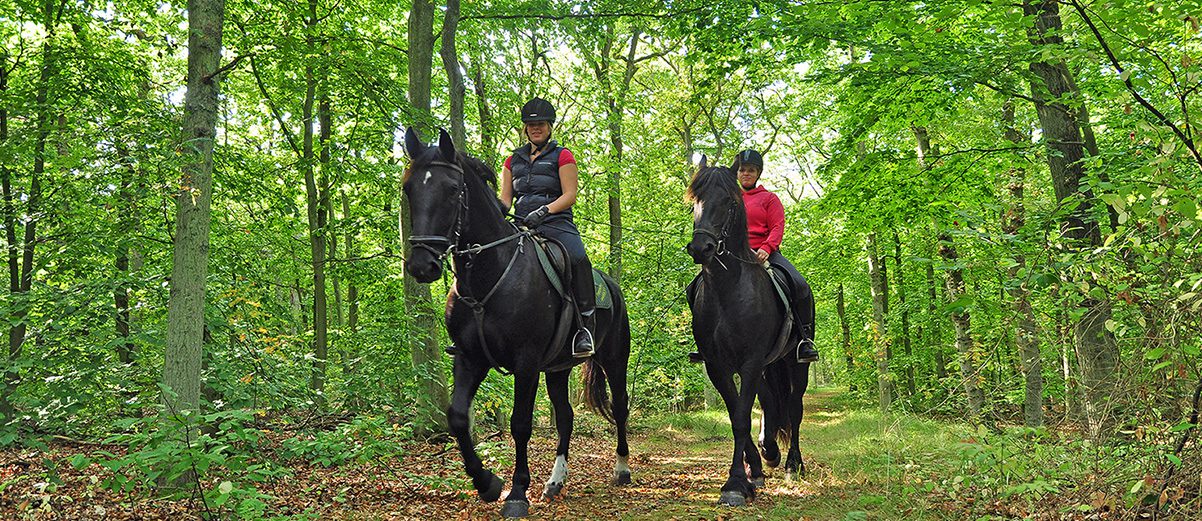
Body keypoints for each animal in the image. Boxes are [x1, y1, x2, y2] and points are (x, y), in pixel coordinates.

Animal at [401, 128, 634, 517]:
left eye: (452, 189)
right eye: (408, 188)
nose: (422, 265)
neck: (490, 275)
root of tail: (612, 286)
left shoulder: (525, 363)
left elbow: (520, 424)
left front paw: (516, 493)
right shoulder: (470, 358)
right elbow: (458, 417)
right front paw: (487, 483)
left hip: (614, 360)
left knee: (620, 406)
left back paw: (622, 469)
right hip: (558, 369)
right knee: (566, 416)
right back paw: (555, 482)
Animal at [682, 156, 812, 505]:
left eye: (729, 202)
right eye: (695, 201)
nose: (701, 248)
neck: (727, 291)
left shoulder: (751, 362)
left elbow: (742, 416)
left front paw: (736, 484)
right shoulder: (718, 366)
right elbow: (736, 415)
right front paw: (751, 471)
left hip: (796, 363)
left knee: (794, 408)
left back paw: (793, 464)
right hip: (768, 365)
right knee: (769, 401)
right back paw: (769, 452)